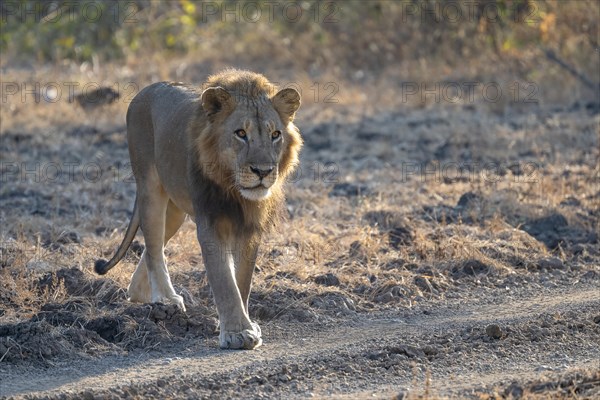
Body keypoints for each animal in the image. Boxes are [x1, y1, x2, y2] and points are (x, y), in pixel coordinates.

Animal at [94, 70, 302, 348]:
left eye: (275, 134)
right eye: (240, 133)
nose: (263, 171)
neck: (235, 191)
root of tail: (146, 90)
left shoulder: (250, 227)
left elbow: (242, 281)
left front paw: (241, 324)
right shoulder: (210, 223)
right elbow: (224, 281)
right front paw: (238, 333)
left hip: (175, 212)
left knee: (150, 253)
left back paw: (146, 296)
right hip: (150, 187)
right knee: (153, 246)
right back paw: (166, 300)